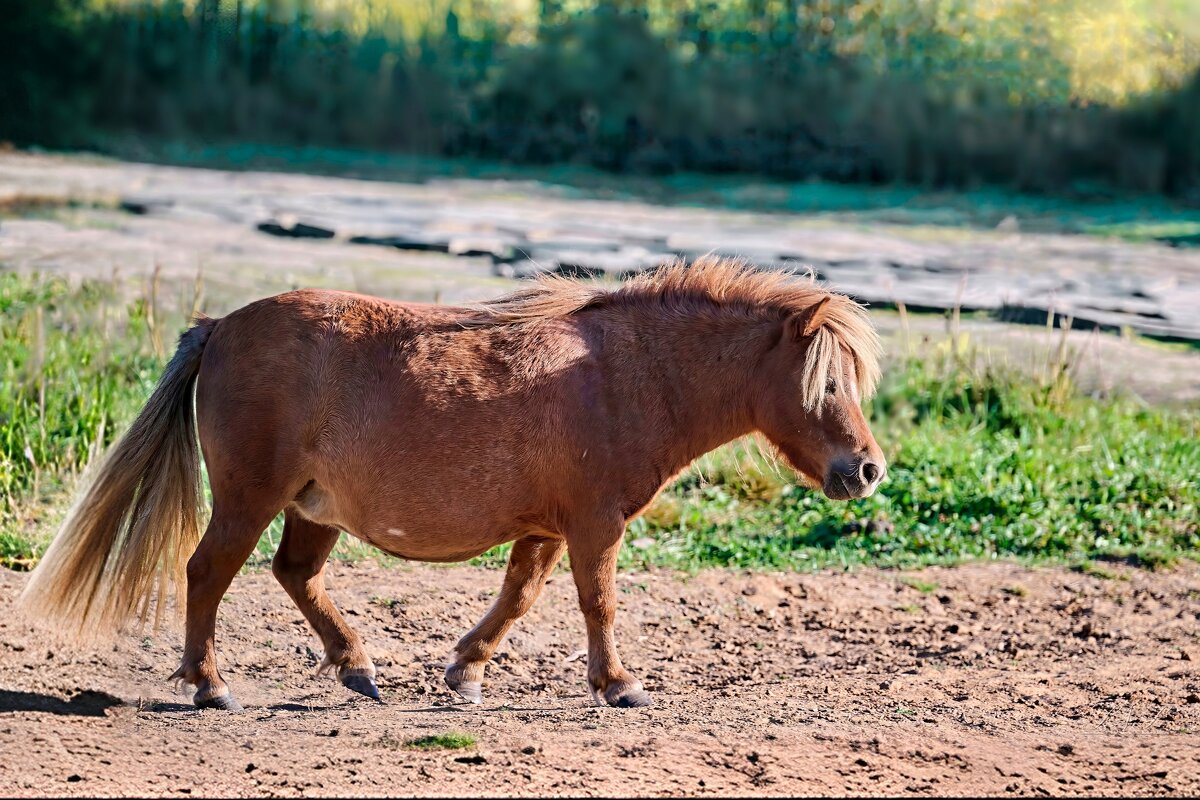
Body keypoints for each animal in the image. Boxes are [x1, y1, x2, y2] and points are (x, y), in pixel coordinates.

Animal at [16, 255, 883, 705]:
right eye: (827, 384)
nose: (868, 469)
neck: (625, 373)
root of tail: (221, 326)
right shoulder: (594, 524)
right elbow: (597, 603)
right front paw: (618, 684)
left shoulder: (546, 529)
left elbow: (519, 599)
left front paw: (465, 672)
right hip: (249, 499)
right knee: (206, 574)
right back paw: (210, 685)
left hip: (311, 508)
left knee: (295, 575)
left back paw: (358, 669)